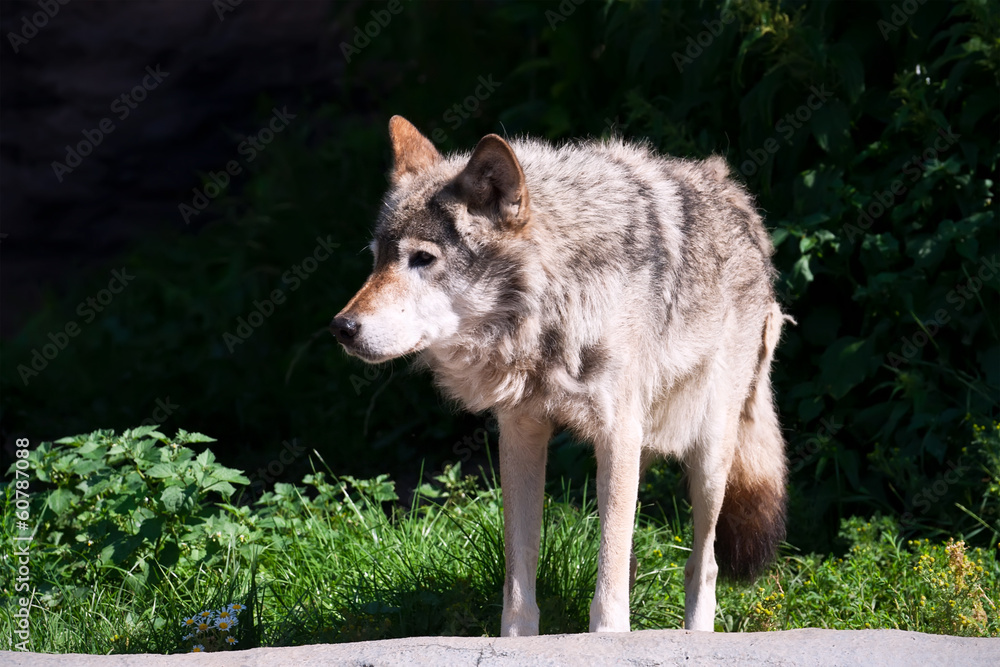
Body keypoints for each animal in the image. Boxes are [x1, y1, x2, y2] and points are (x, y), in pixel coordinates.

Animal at [331, 115, 789, 635]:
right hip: (645, 447)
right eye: (377, 259)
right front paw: (518, 640)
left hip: (708, 454)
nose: (341, 328)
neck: (556, 302)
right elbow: (520, 573)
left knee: (701, 563)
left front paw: (607, 639)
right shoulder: (520, 433)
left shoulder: (616, 434)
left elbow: (609, 578)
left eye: (423, 259)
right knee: (631, 557)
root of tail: (737, 197)